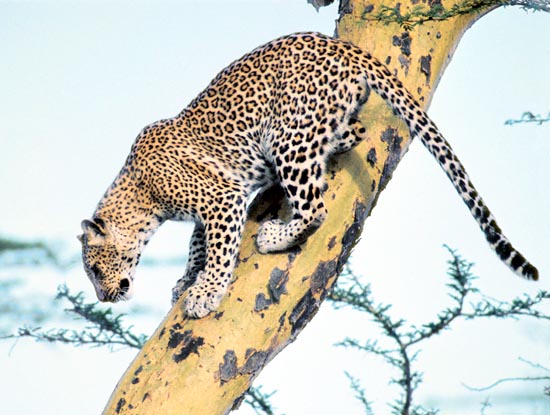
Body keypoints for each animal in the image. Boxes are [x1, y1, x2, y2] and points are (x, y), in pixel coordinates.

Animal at [77, 31, 540, 318]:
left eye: (95, 271)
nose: (105, 299)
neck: (141, 198)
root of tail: (341, 46)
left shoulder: (220, 200)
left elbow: (220, 252)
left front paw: (204, 294)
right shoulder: (215, 202)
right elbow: (198, 246)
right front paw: (187, 279)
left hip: (287, 138)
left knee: (314, 207)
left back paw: (274, 235)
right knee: (354, 133)